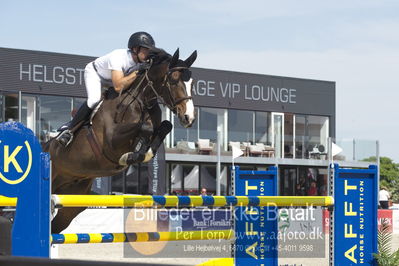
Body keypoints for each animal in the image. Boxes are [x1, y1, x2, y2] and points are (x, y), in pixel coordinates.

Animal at [46, 48, 197, 233]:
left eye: (192, 83)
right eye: (174, 79)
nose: (189, 117)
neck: (141, 102)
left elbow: (165, 126)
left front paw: (144, 153)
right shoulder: (110, 142)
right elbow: (145, 128)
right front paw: (131, 156)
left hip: (73, 201)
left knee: (56, 226)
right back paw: (64, 136)